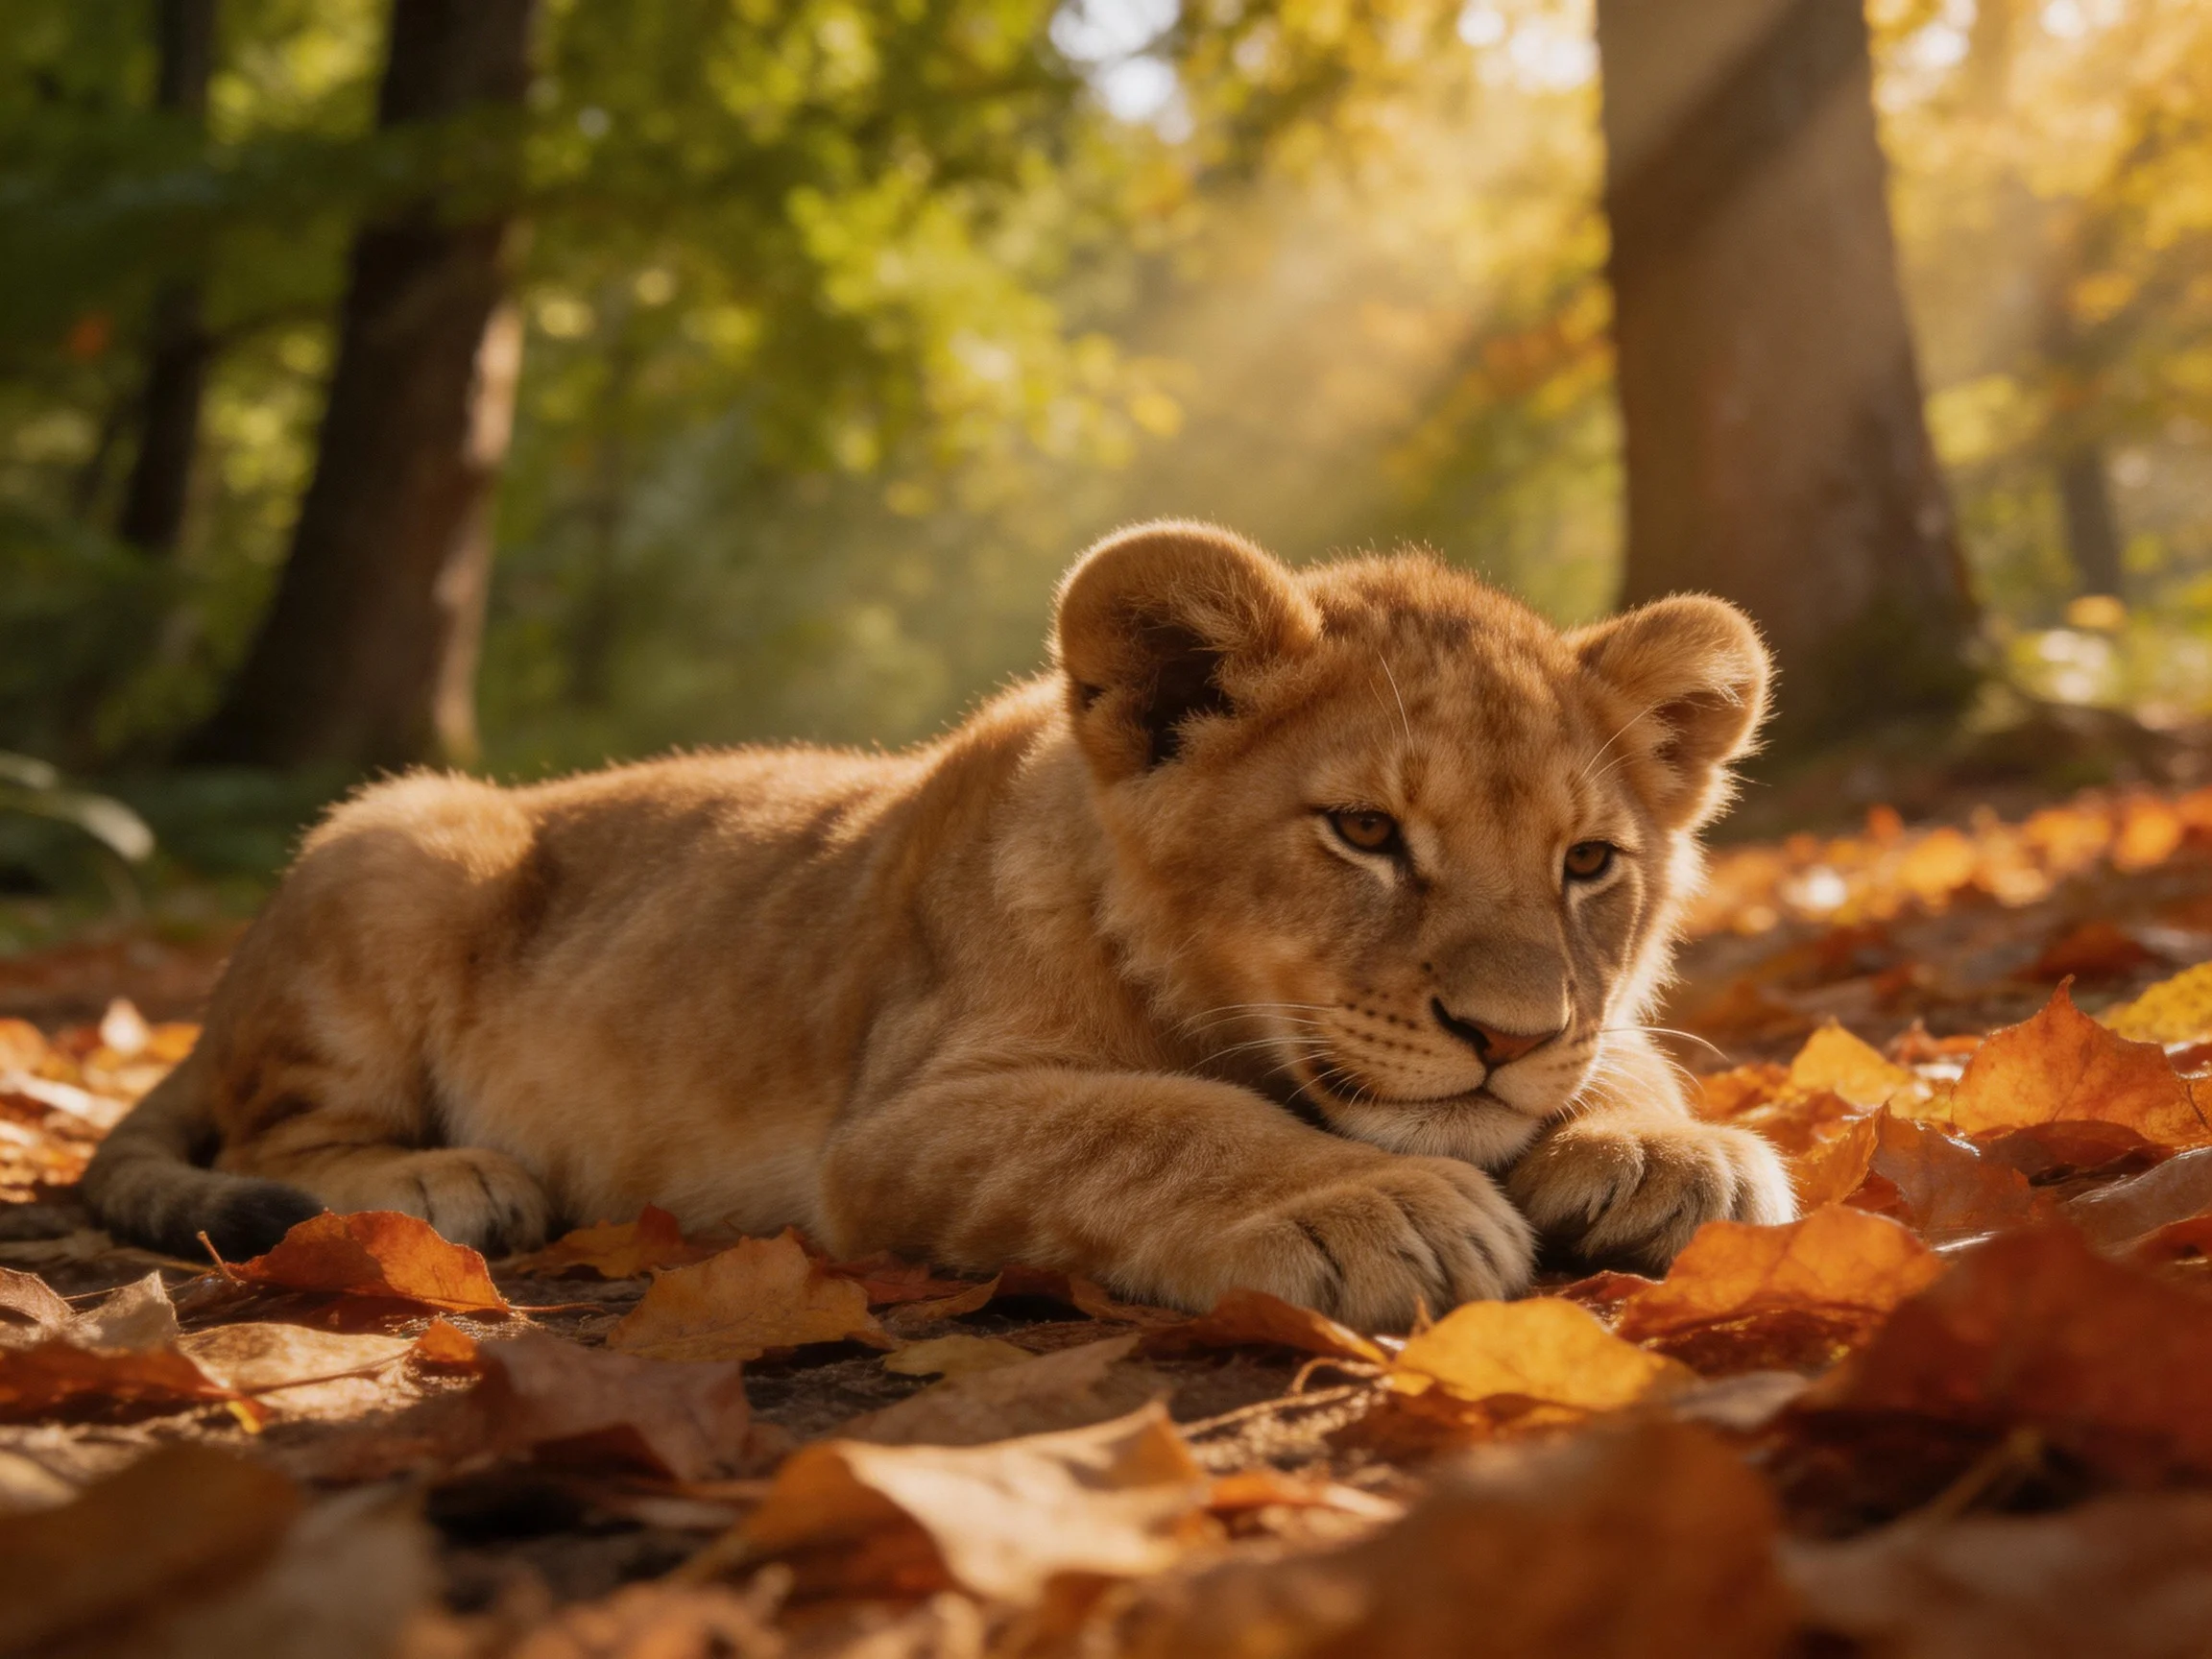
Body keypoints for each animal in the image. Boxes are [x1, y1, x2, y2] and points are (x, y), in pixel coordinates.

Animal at [83, 521, 1792, 1327]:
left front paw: (1668, 1147)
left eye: (1588, 865)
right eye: (1365, 833)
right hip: (395, 833)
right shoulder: (906, 1120)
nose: (1508, 1037)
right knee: (280, 1141)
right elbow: (1157, 1122)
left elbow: (1628, 1046)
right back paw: (443, 1180)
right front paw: (1382, 1207)